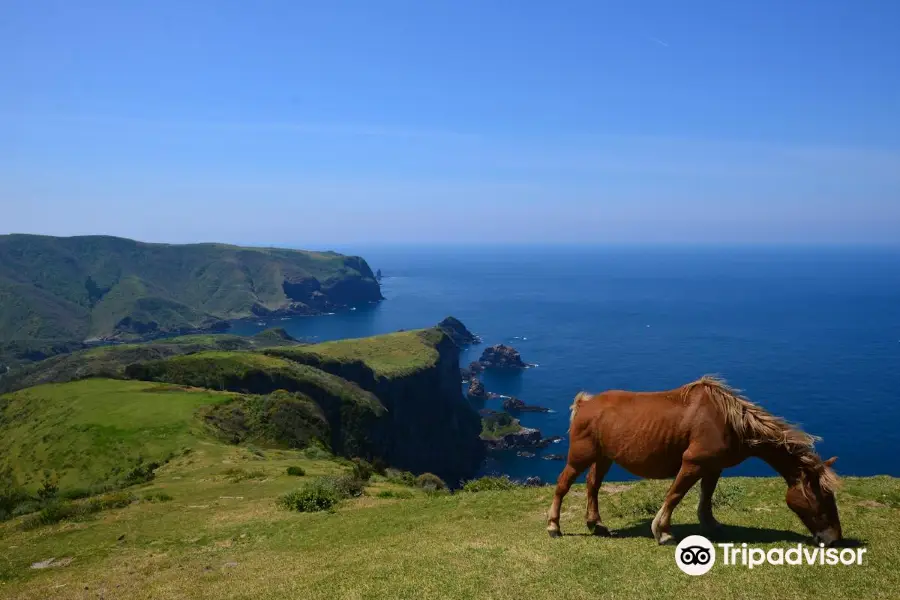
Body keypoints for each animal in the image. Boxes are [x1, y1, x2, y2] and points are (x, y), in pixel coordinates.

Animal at [548, 378, 844, 548]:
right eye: (822, 498)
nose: (834, 539)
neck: (731, 422)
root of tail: (585, 404)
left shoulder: (713, 466)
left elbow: (706, 496)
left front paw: (710, 524)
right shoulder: (693, 463)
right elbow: (675, 495)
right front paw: (663, 532)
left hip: (604, 457)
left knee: (593, 485)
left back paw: (595, 523)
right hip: (580, 456)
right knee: (563, 485)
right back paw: (553, 526)